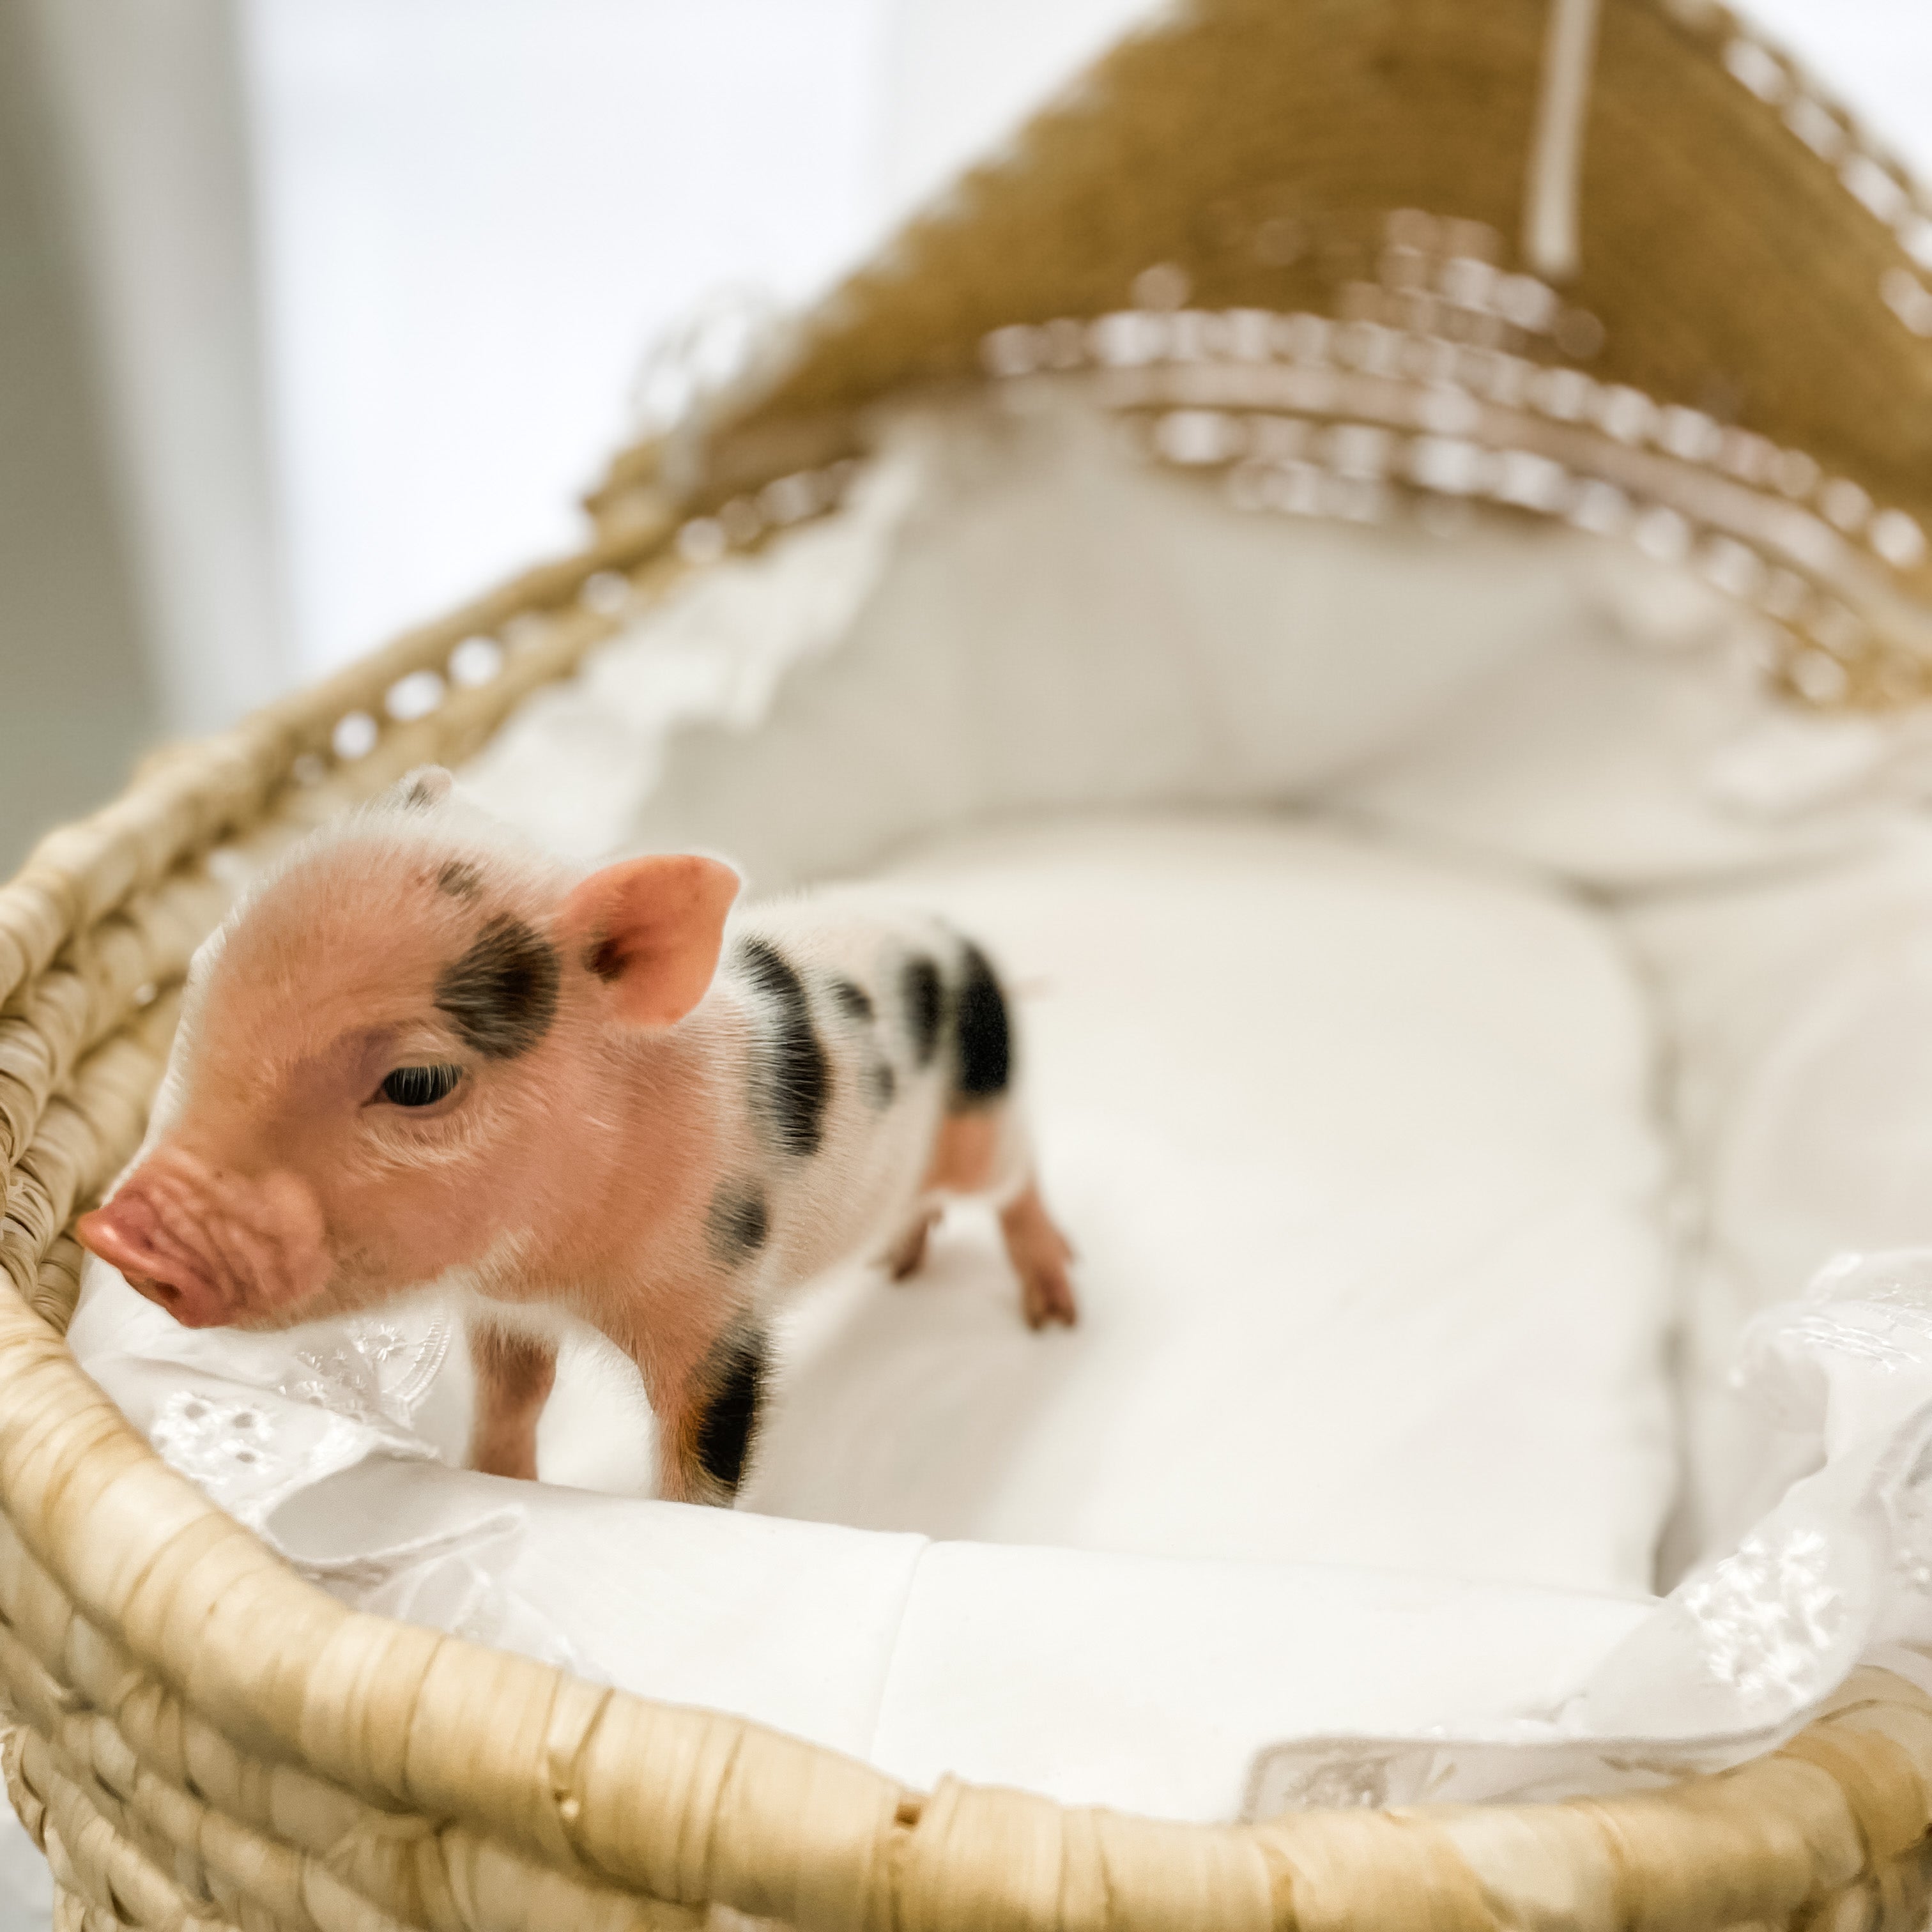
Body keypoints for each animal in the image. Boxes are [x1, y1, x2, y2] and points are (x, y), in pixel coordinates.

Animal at [77, 767, 1076, 1505]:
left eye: (418, 1083)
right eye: (205, 984)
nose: (119, 1235)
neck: (549, 1270)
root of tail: (961, 939)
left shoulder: (718, 1308)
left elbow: (702, 1459)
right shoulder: (503, 1313)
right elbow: (512, 1401)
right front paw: (498, 1482)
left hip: (985, 1120)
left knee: (1021, 1181)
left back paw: (1057, 1311)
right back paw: (897, 1266)